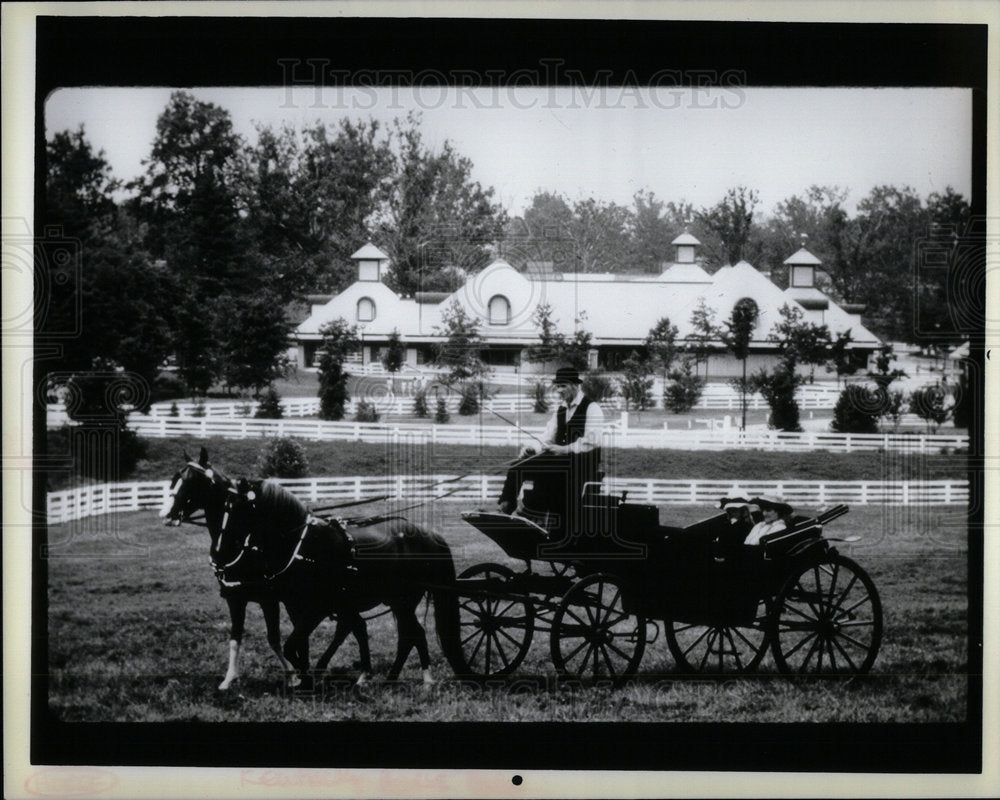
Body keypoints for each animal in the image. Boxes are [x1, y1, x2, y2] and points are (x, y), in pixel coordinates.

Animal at [156, 446, 296, 692]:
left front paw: (291, 674)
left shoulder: (269, 599)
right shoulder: (234, 597)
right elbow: (235, 637)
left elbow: (273, 638)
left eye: (192, 482)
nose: (166, 514)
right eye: (175, 478)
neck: (245, 541)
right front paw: (230, 678)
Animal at [218, 476, 464, 688]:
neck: (304, 545)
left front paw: (307, 676)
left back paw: (425, 680)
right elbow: (298, 644)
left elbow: (293, 645)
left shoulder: (318, 607)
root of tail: (428, 534)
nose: (220, 554)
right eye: (225, 508)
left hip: (403, 601)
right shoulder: (300, 605)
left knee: (414, 634)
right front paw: (305, 676)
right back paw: (394, 679)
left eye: (239, 510)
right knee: (409, 635)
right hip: (397, 602)